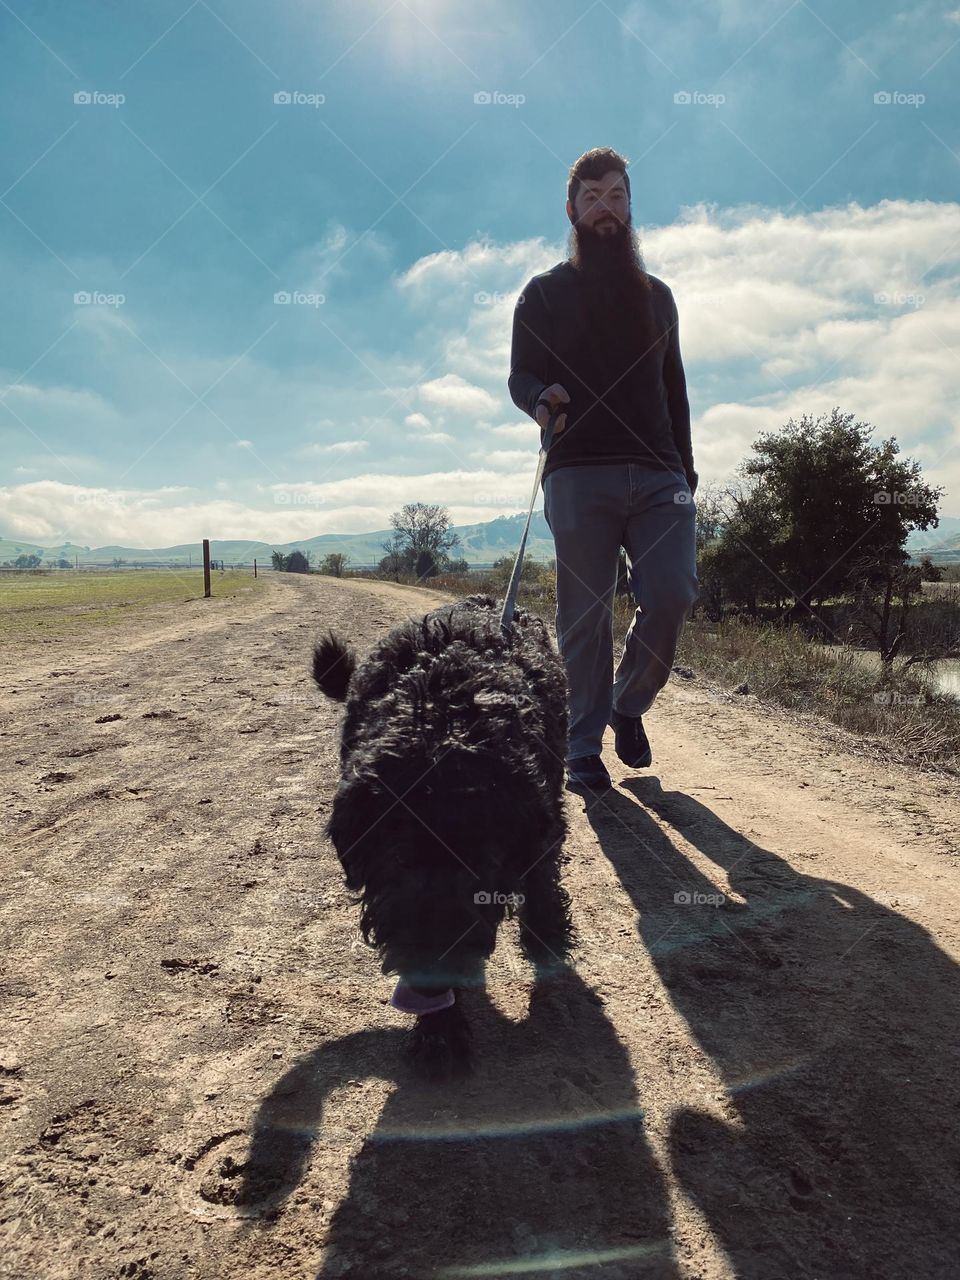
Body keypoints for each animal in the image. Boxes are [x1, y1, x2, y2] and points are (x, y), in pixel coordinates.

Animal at [312, 593, 576, 1075]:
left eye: (479, 863)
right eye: (397, 859)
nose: (429, 977)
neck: (442, 717)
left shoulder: (543, 824)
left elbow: (542, 887)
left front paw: (546, 943)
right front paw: (440, 1033)